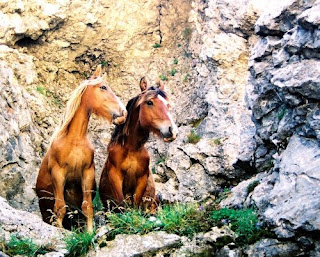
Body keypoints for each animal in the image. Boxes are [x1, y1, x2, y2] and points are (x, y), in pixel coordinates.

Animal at [34, 64, 125, 232]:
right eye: (103, 87)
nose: (123, 113)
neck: (74, 141)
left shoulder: (87, 173)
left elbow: (87, 207)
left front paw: (90, 233)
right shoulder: (58, 174)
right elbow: (60, 208)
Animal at [99, 77, 178, 211]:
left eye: (167, 105)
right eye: (150, 102)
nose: (173, 131)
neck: (131, 149)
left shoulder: (142, 178)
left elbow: (136, 204)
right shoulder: (115, 176)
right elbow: (121, 204)